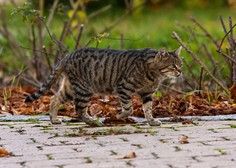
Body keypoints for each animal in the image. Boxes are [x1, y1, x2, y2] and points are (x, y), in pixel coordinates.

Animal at [24, 46, 183, 126]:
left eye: (180, 64)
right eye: (173, 66)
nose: (181, 72)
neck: (154, 74)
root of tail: (68, 55)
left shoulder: (147, 94)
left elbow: (148, 109)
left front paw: (151, 121)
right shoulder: (123, 88)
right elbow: (129, 108)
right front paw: (119, 115)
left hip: (69, 89)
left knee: (54, 99)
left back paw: (54, 119)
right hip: (84, 89)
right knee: (79, 110)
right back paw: (93, 122)